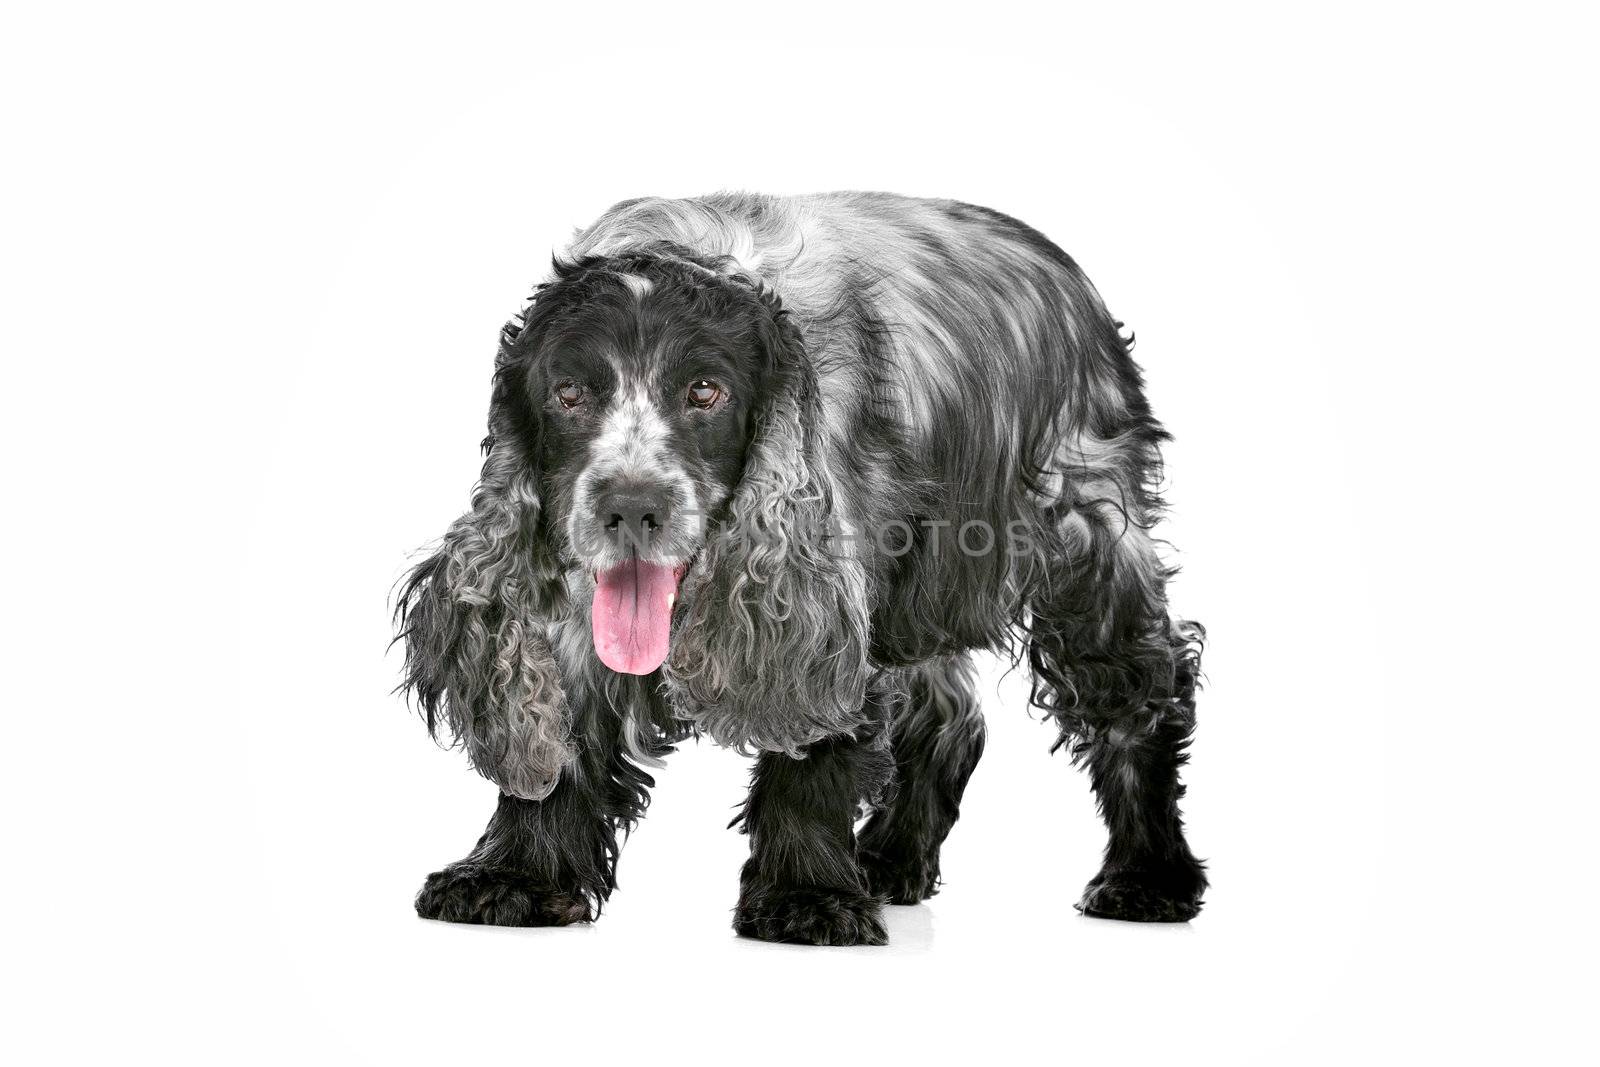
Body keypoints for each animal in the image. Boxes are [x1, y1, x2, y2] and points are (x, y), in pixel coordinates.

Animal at [393, 191, 1203, 940]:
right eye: (569, 392)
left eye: (706, 391)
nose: (630, 506)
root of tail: (1068, 275)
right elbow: (560, 736)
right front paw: (513, 875)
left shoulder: (821, 594)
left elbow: (813, 749)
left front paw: (806, 897)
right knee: (949, 714)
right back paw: (891, 861)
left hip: (1088, 544)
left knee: (1143, 702)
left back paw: (1147, 878)